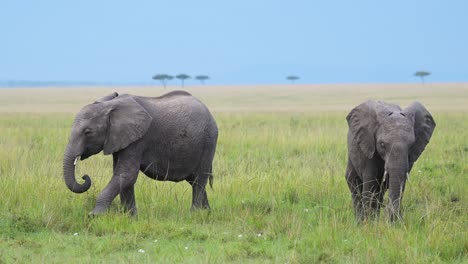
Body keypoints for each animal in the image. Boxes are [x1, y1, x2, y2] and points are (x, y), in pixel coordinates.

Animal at [63, 89, 218, 216]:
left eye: (87, 132)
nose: (84, 177)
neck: (110, 106)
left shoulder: (138, 140)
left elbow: (126, 174)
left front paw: (95, 215)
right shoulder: (120, 139)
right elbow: (122, 175)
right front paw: (129, 217)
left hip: (208, 141)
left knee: (199, 180)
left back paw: (195, 214)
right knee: (195, 181)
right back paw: (206, 213)